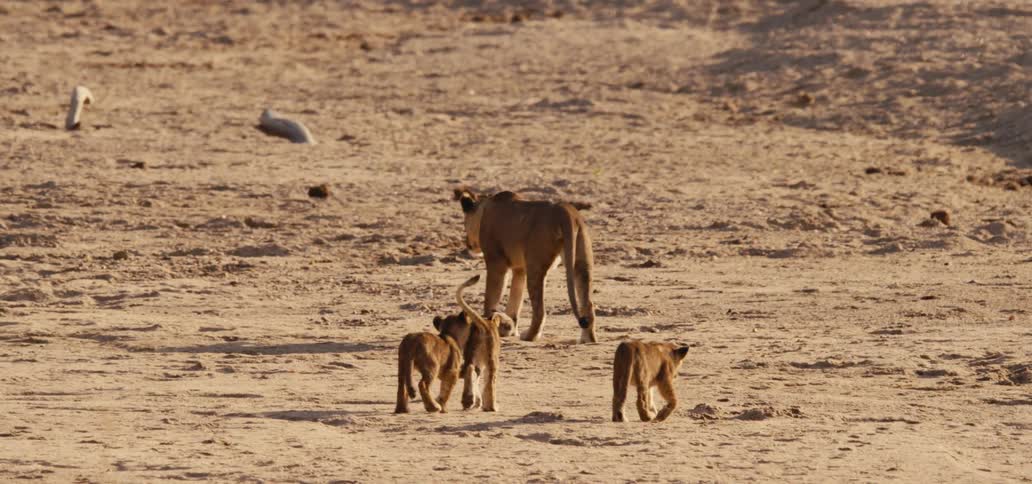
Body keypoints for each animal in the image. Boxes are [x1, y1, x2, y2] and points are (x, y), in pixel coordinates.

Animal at [453, 187, 597, 344]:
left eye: (464, 224)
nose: (467, 244)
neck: (485, 207)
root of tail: (565, 211)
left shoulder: (496, 262)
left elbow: (491, 297)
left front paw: (489, 324)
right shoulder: (520, 268)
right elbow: (515, 299)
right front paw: (510, 328)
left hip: (535, 265)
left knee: (540, 311)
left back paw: (529, 336)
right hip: (581, 262)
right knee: (587, 303)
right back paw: (587, 339)